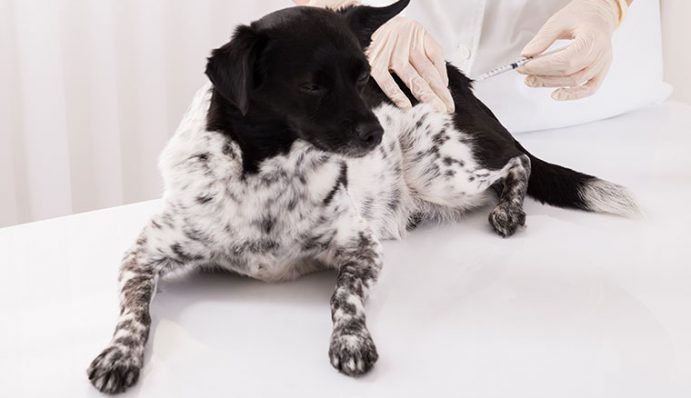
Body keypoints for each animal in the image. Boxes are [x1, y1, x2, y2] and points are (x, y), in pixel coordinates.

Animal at [85, 0, 636, 392]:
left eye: (365, 77)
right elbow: (134, 311)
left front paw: (352, 341)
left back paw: (508, 211)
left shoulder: (360, 250)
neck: (267, 174)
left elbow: (343, 297)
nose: (375, 134)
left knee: (518, 161)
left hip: (440, 170)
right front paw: (118, 353)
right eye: (311, 85)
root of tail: (457, 76)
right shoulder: (142, 255)